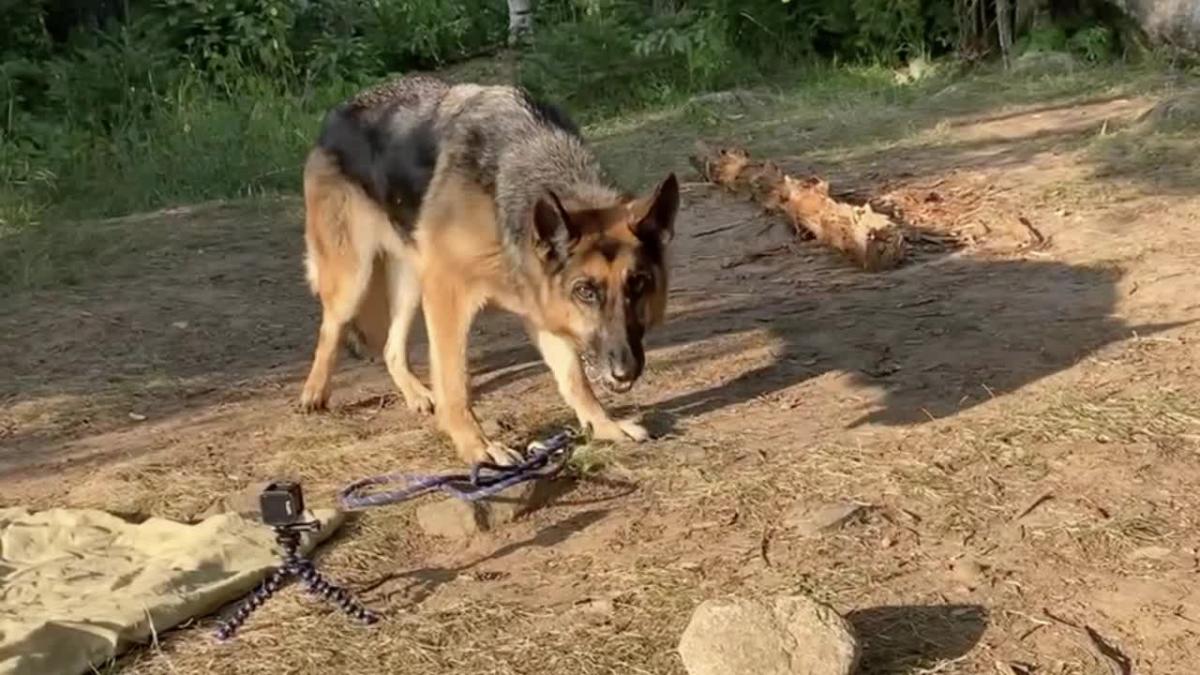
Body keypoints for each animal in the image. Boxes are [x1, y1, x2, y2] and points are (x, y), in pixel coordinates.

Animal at [296, 74, 681, 461]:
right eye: (585, 291)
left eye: (638, 284)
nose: (625, 371)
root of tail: (340, 111)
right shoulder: (448, 294)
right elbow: (453, 382)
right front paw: (476, 445)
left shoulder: (536, 303)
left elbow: (573, 378)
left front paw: (603, 426)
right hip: (354, 280)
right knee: (331, 327)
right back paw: (314, 393)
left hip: (412, 282)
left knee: (391, 348)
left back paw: (415, 393)